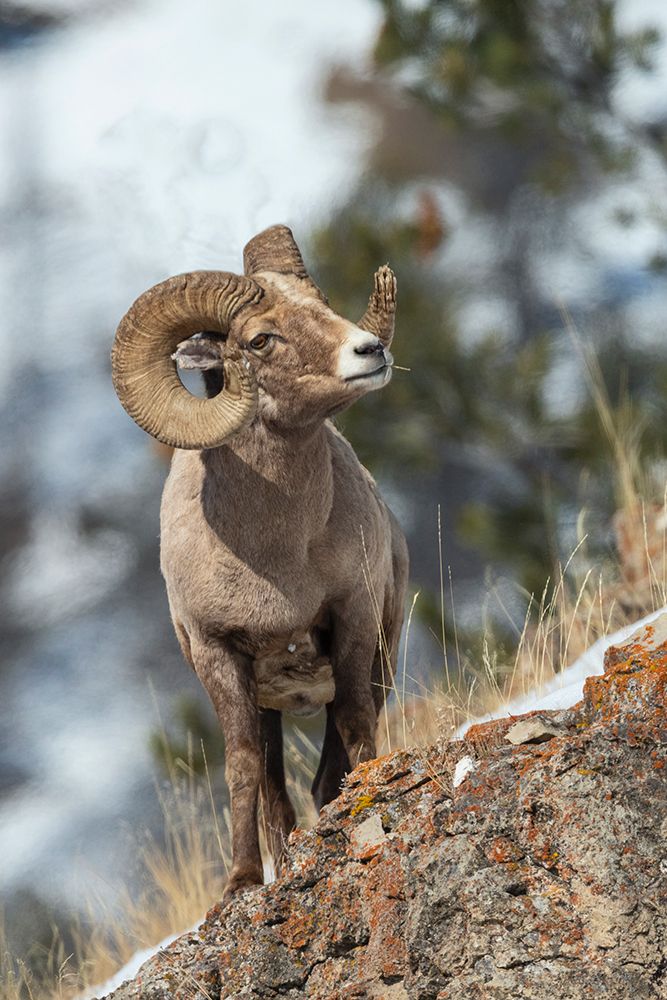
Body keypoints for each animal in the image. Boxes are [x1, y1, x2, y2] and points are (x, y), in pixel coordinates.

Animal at [111, 225, 409, 902]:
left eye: (320, 304)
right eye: (260, 339)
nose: (370, 351)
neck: (277, 560)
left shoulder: (352, 618)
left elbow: (355, 722)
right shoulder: (220, 655)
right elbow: (244, 763)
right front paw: (242, 882)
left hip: (380, 654)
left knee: (333, 763)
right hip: (272, 701)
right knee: (277, 792)